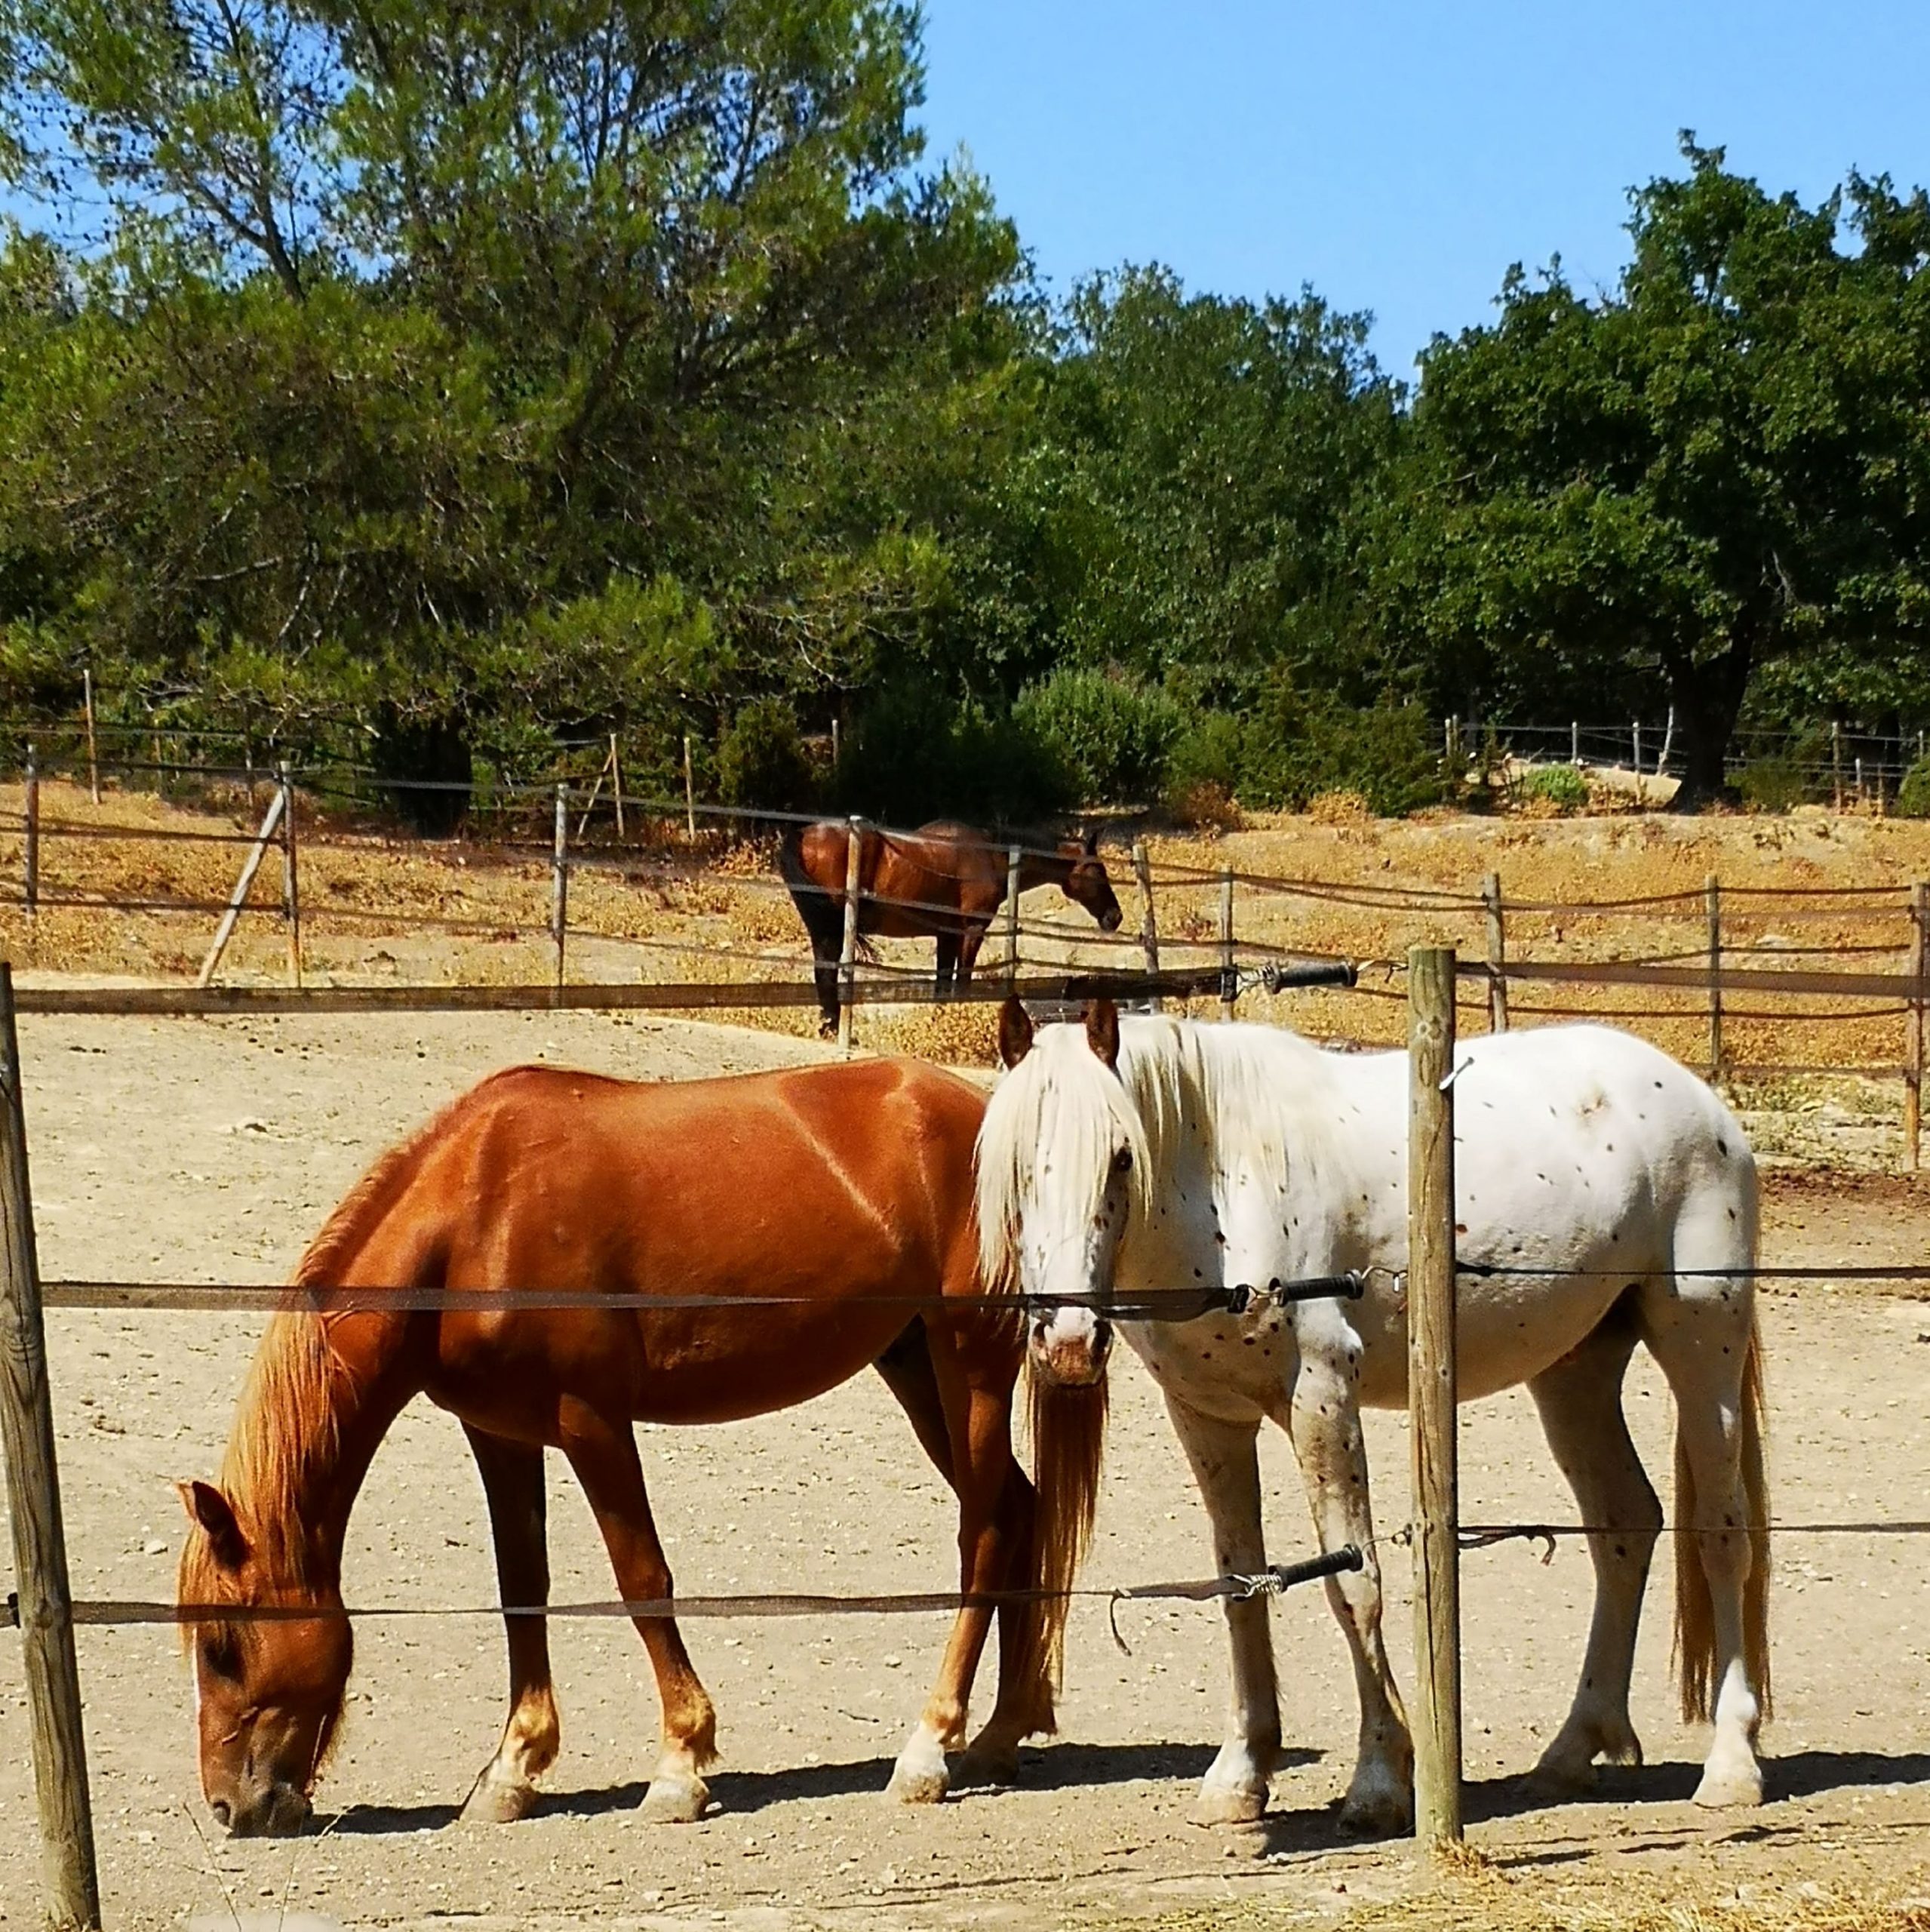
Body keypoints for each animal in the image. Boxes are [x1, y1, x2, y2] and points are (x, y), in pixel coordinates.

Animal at [184, 1066, 1120, 1831]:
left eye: (222, 1645)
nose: (232, 1806)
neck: (476, 1213)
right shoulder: (499, 1431)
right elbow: (521, 1588)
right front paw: (511, 1769)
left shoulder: (591, 1420)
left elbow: (641, 1579)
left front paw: (678, 1764)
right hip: (914, 1362)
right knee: (1019, 1511)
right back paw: (1000, 1731)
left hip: (969, 1367)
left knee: (984, 1535)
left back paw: (927, 1748)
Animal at [776, 815, 1128, 1027]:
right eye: (1099, 871)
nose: (1116, 916)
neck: (991, 856)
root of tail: (803, 834)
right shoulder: (971, 931)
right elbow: (962, 981)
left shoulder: (945, 935)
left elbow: (943, 983)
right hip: (829, 931)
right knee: (825, 974)